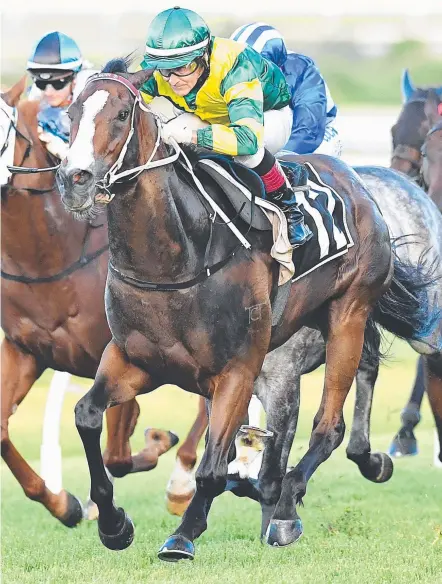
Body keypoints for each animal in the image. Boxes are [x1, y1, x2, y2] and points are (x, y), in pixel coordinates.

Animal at [1, 75, 178, 528]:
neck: (50, 258)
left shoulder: (119, 352)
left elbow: (116, 455)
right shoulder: (25, 351)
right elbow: (0, 431)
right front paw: (66, 505)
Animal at [56, 60, 438, 560]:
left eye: (121, 114)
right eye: (71, 113)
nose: (74, 180)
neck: (177, 260)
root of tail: (357, 183)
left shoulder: (241, 370)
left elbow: (216, 467)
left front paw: (185, 532)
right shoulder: (136, 360)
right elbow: (86, 416)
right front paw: (114, 525)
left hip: (349, 314)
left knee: (328, 425)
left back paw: (291, 508)